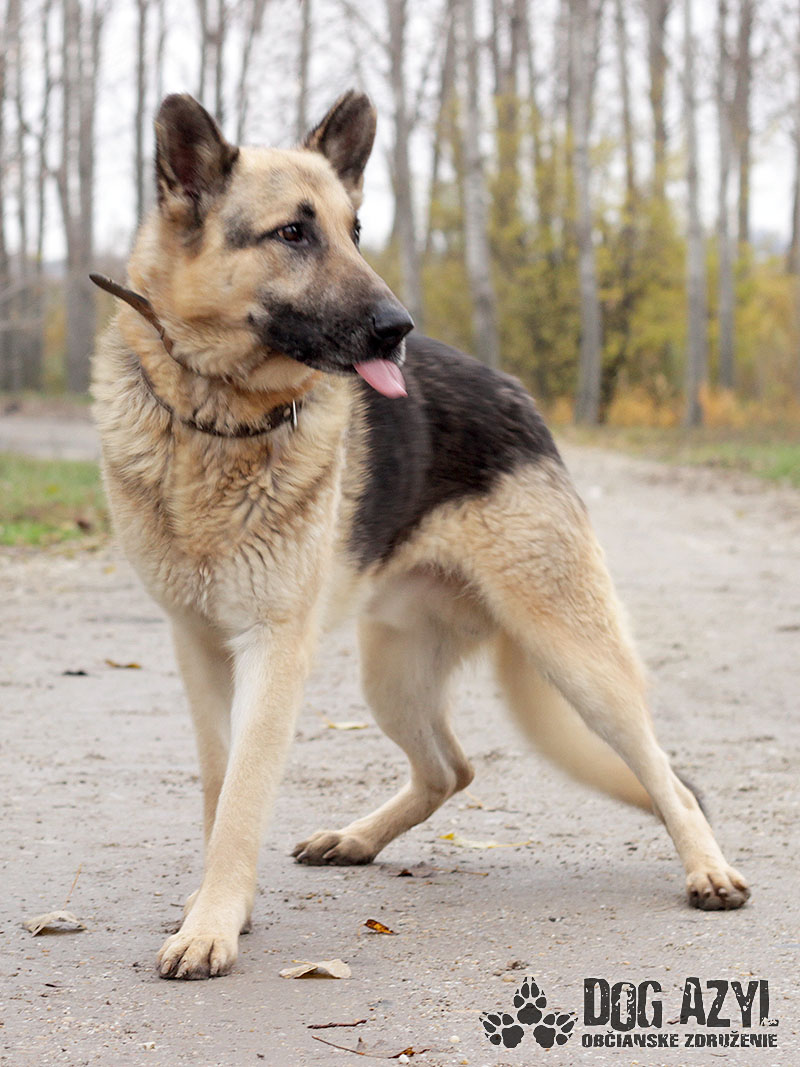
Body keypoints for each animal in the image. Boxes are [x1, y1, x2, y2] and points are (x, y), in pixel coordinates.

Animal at [91, 91, 749, 980]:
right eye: (292, 233)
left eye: (356, 229)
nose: (397, 328)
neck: (217, 418)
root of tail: (518, 395)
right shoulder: (198, 645)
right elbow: (219, 787)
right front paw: (218, 907)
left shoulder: (272, 651)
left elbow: (242, 800)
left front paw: (212, 923)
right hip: (392, 672)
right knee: (451, 766)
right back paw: (357, 837)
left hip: (576, 659)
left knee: (665, 775)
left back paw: (707, 869)